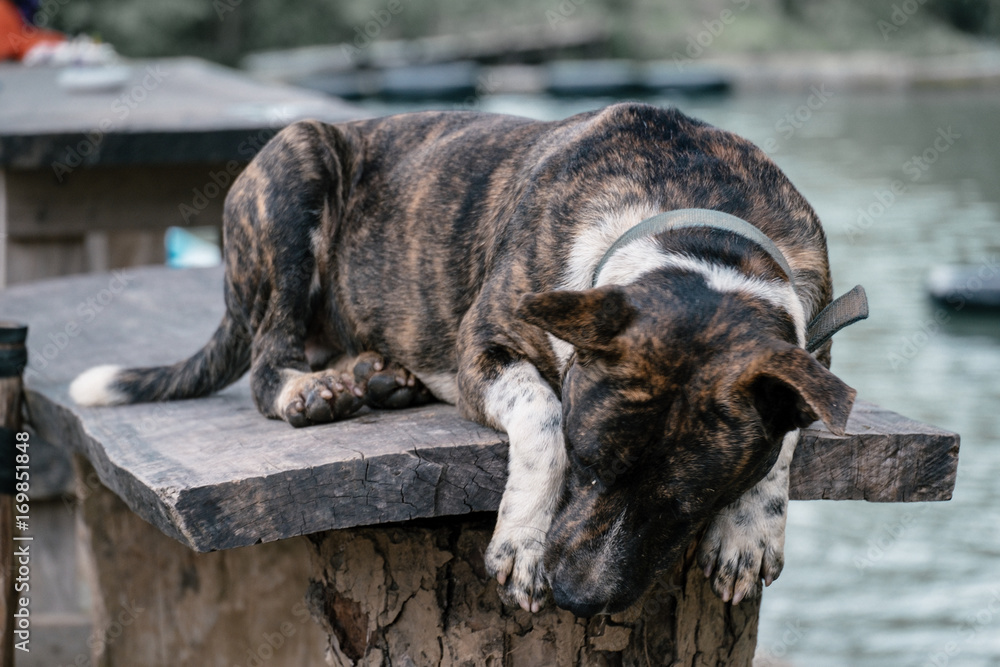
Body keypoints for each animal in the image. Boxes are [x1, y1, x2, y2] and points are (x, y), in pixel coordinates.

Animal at [70, 102, 856, 620]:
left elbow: (793, 426)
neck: (699, 233)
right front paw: (525, 542)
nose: (581, 599)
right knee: (268, 360)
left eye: (690, 503)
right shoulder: (485, 347)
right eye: (589, 461)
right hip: (295, 170)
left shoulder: (811, 343)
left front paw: (749, 530)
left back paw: (379, 376)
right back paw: (313, 390)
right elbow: (542, 416)